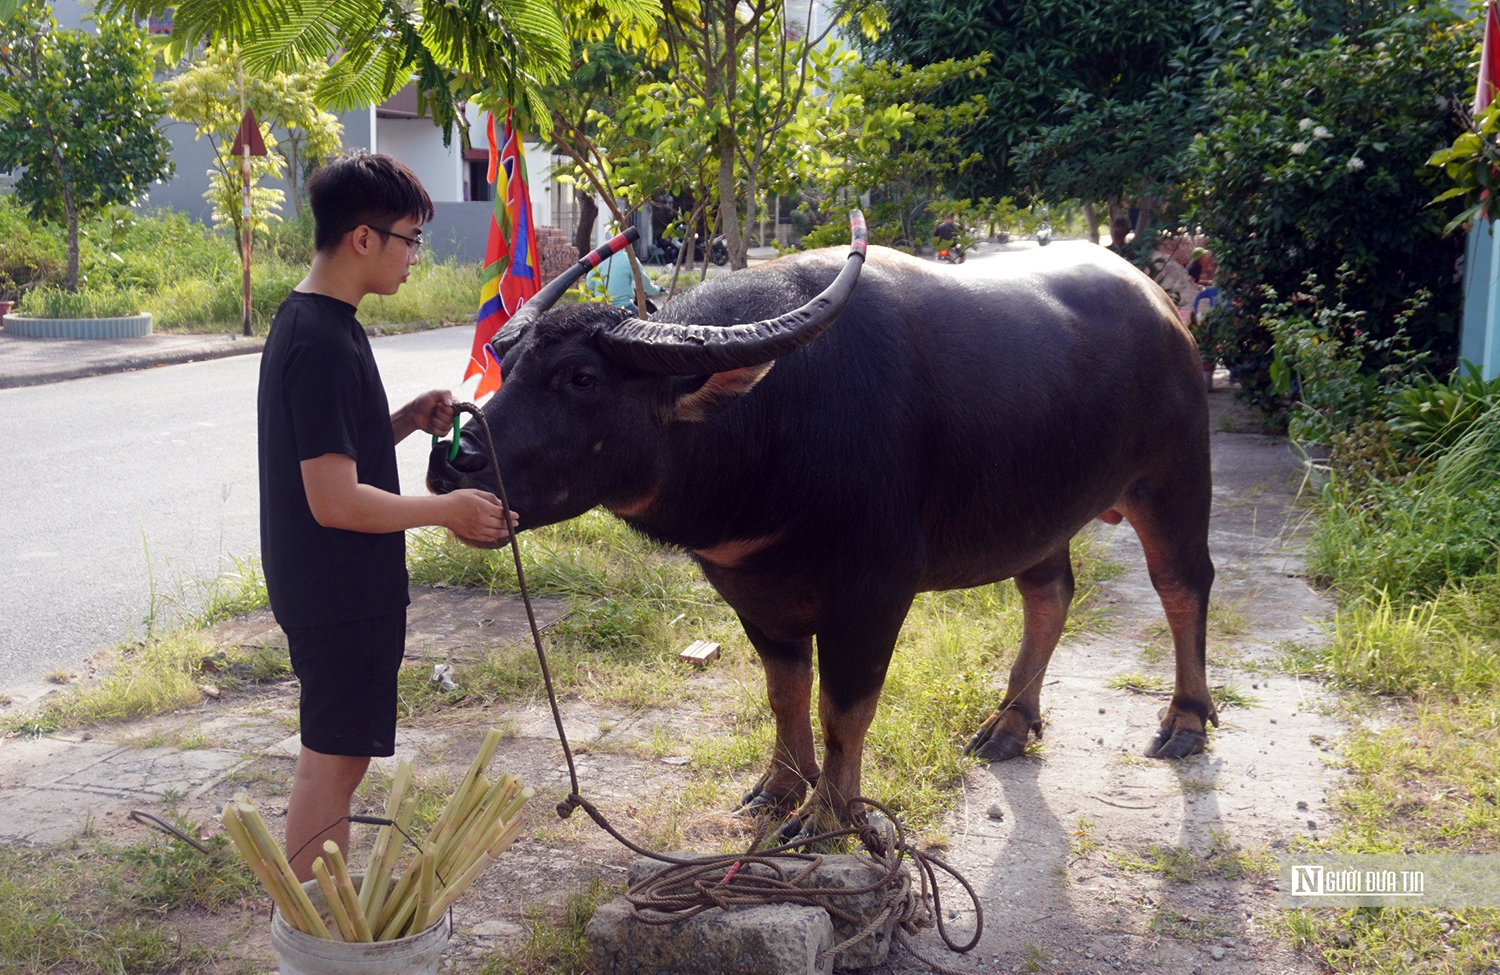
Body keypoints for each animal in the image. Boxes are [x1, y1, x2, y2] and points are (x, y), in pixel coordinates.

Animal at [429, 220, 1212, 834]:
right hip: (1040, 514)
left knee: (1183, 586)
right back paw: (1010, 723)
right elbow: (784, 691)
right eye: (505, 362)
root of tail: (1164, 311)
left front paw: (828, 814)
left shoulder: (873, 595)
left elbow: (846, 707)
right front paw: (779, 787)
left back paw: (1185, 721)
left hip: (1173, 481)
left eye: (582, 378)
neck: (773, 422)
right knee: (1048, 594)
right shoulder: (750, 591)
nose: (451, 464)